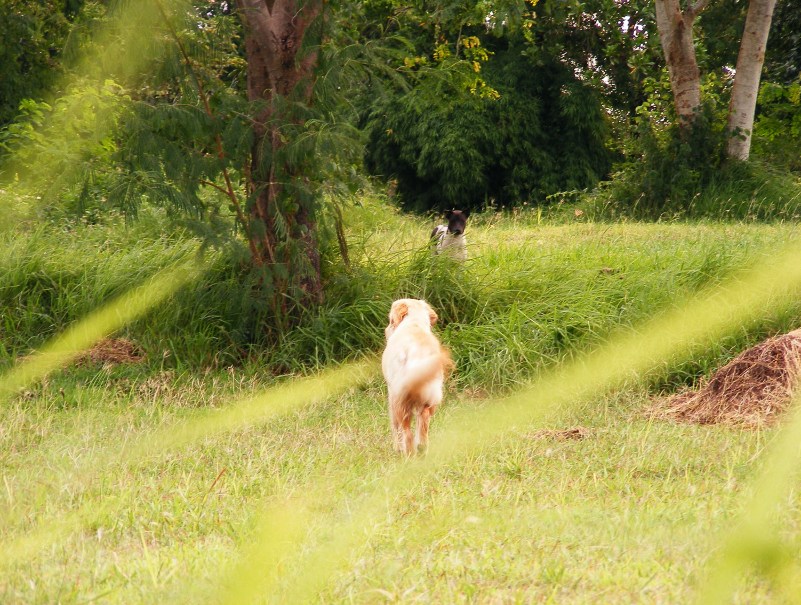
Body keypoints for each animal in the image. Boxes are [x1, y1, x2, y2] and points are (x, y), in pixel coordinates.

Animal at [380, 298, 450, 452]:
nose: (386, 330)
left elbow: (394, 426)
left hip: (399, 400)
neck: (414, 323)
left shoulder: (390, 393)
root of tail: (417, 352)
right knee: (422, 434)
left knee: (406, 433)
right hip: (428, 401)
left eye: (390, 320)